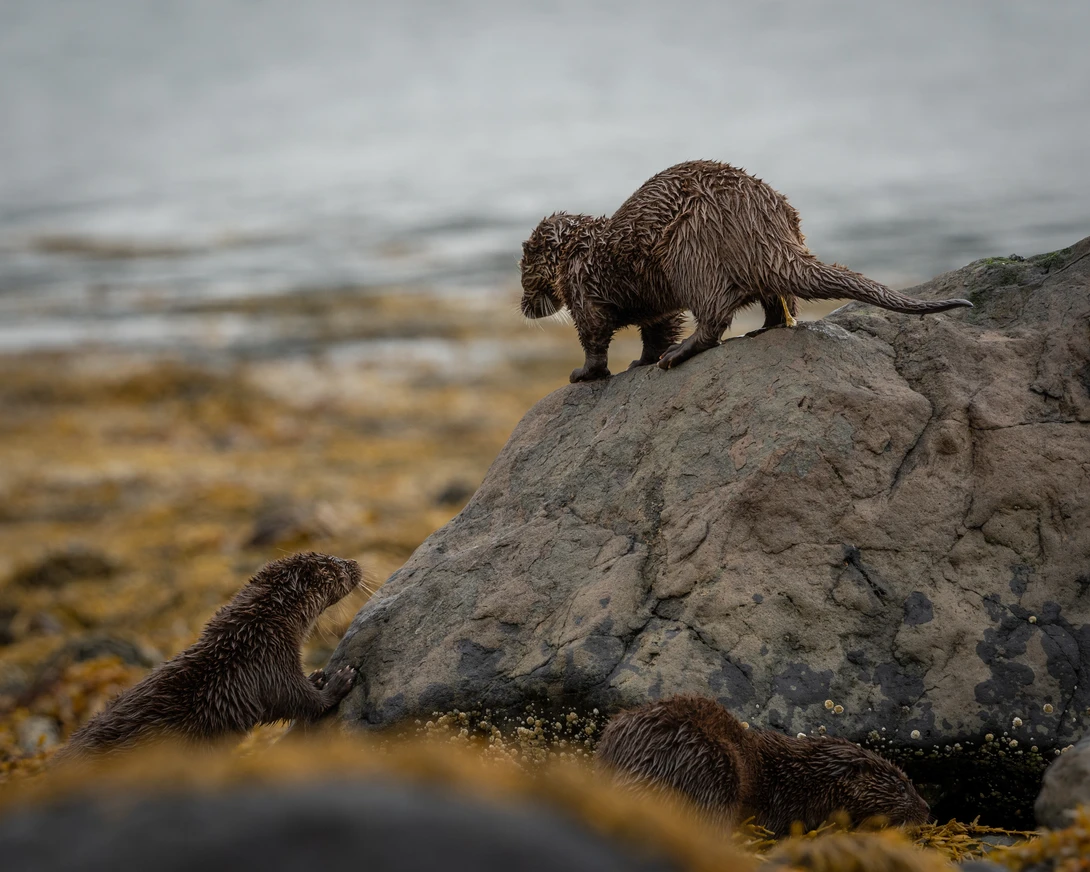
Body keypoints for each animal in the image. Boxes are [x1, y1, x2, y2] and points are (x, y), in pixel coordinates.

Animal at [59, 552, 361, 759]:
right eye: (337, 565)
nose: (356, 563)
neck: (256, 632)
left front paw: (317, 676)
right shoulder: (269, 666)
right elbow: (299, 700)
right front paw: (338, 681)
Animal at [519, 160, 972, 382]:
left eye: (524, 277)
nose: (524, 308)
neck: (579, 251)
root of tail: (761, 222)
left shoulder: (582, 289)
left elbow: (595, 336)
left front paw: (585, 374)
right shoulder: (655, 308)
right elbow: (657, 327)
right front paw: (640, 362)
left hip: (690, 251)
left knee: (714, 314)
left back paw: (678, 356)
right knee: (778, 301)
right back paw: (763, 330)